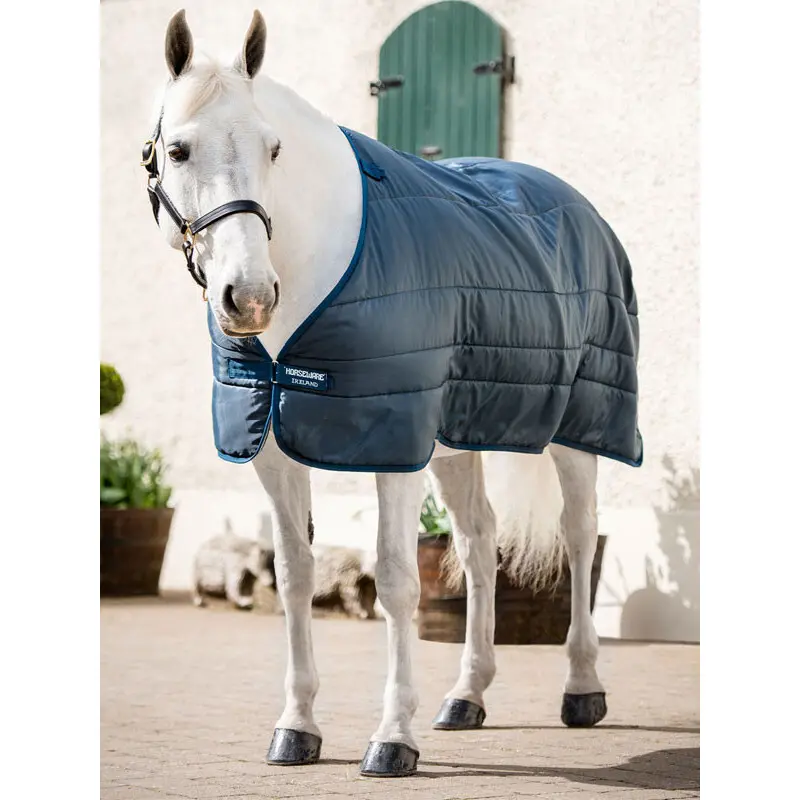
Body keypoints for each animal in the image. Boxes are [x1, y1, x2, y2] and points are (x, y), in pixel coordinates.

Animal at [140, 9, 642, 777]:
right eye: (178, 149)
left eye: (274, 148)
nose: (249, 298)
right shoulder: (274, 451)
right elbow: (292, 577)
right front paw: (297, 728)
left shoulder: (391, 443)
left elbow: (399, 580)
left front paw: (392, 738)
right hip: (456, 442)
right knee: (479, 543)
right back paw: (467, 696)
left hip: (575, 428)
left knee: (579, 535)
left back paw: (582, 688)